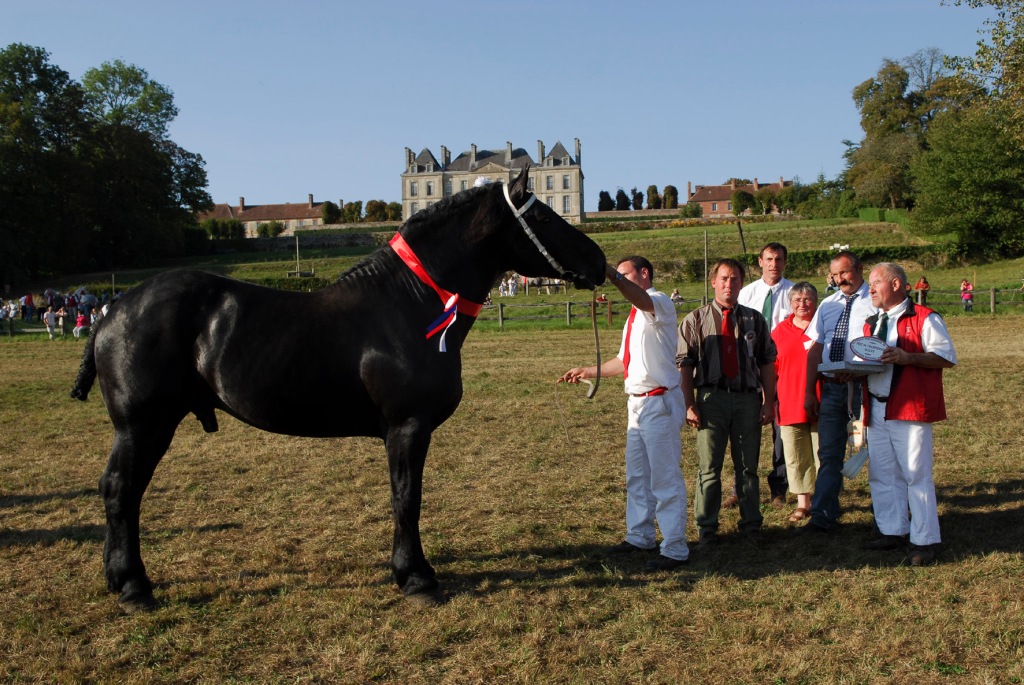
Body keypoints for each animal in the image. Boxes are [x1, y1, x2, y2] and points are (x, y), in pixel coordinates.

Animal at [74, 170, 606, 610]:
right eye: (541, 214)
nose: (599, 261)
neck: (408, 304)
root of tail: (114, 309)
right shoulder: (407, 427)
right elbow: (406, 497)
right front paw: (415, 578)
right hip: (142, 426)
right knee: (120, 490)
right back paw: (133, 587)